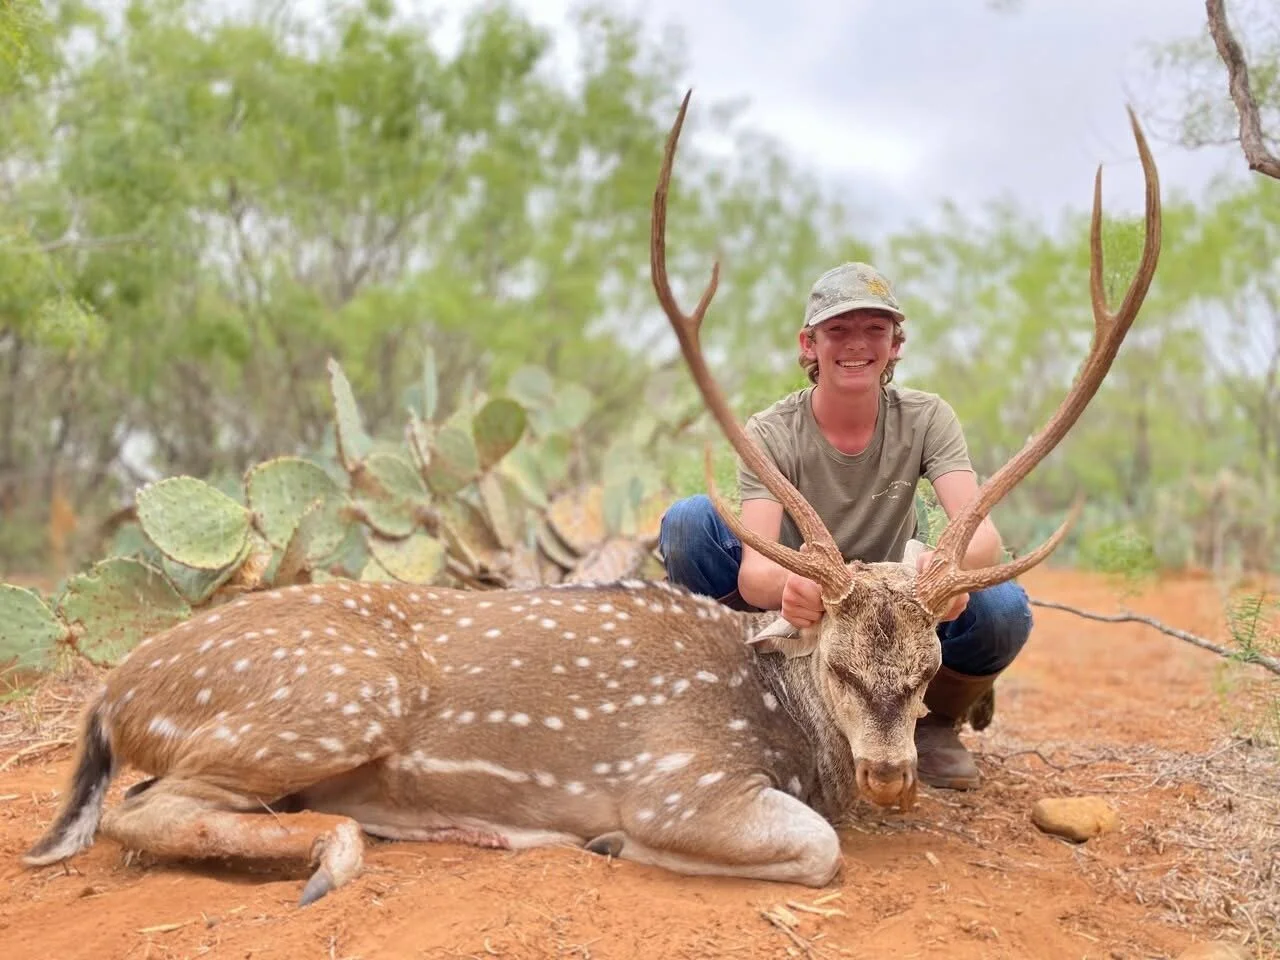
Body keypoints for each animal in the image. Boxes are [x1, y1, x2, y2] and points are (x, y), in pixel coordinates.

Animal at [21, 90, 1161, 906]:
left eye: (927, 668)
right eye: (839, 664)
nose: (890, 778)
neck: (786, 726)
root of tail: (113, 695)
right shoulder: (682, 778)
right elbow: (815, 847)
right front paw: (617, 840)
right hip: (328, 699)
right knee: (134, 814)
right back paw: (338, 852)